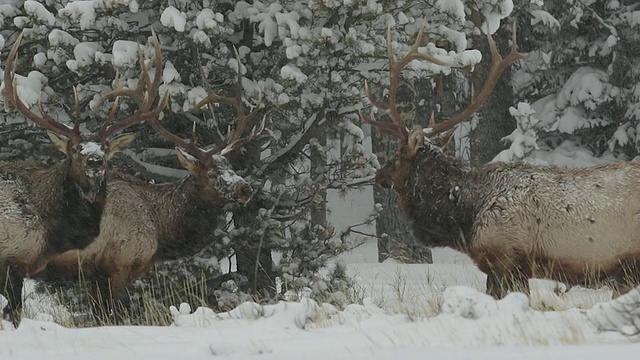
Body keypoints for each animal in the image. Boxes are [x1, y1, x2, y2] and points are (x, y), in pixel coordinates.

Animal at [40, 35, 262, 318]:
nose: (245, 188)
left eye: (231, 166)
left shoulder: (94, 274)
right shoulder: (119, 265)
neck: (160, 229)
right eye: (212, 173)